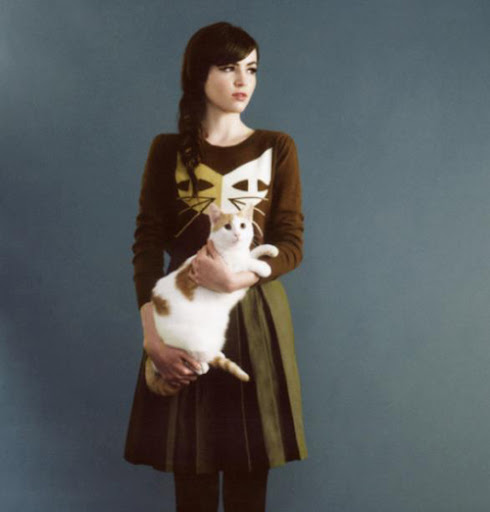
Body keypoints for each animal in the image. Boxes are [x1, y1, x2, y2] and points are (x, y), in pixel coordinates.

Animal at [145, 202, 279, 396]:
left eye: (243, 225)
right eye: (227, 227)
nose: (237, 235)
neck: (232, 252)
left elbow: (251, 253)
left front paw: (268, 249)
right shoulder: (227, 269)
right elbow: (246, 262)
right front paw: (263, 267)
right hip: (189, 341)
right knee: (188, 356)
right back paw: (200, 365)